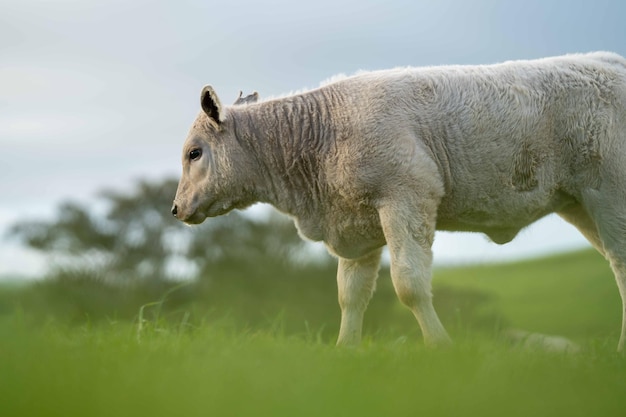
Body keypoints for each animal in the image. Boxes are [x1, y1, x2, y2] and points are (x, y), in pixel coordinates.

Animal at [173, 52, 624, 352]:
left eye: (194, 152)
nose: (175, 209)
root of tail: (608, 61)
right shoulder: (357, 228)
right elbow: (350, 295)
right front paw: (346, 351)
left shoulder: (406, 198)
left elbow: (410, 284)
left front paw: (440, 347)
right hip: (579, 204)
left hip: (609, 194)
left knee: (620, 263)